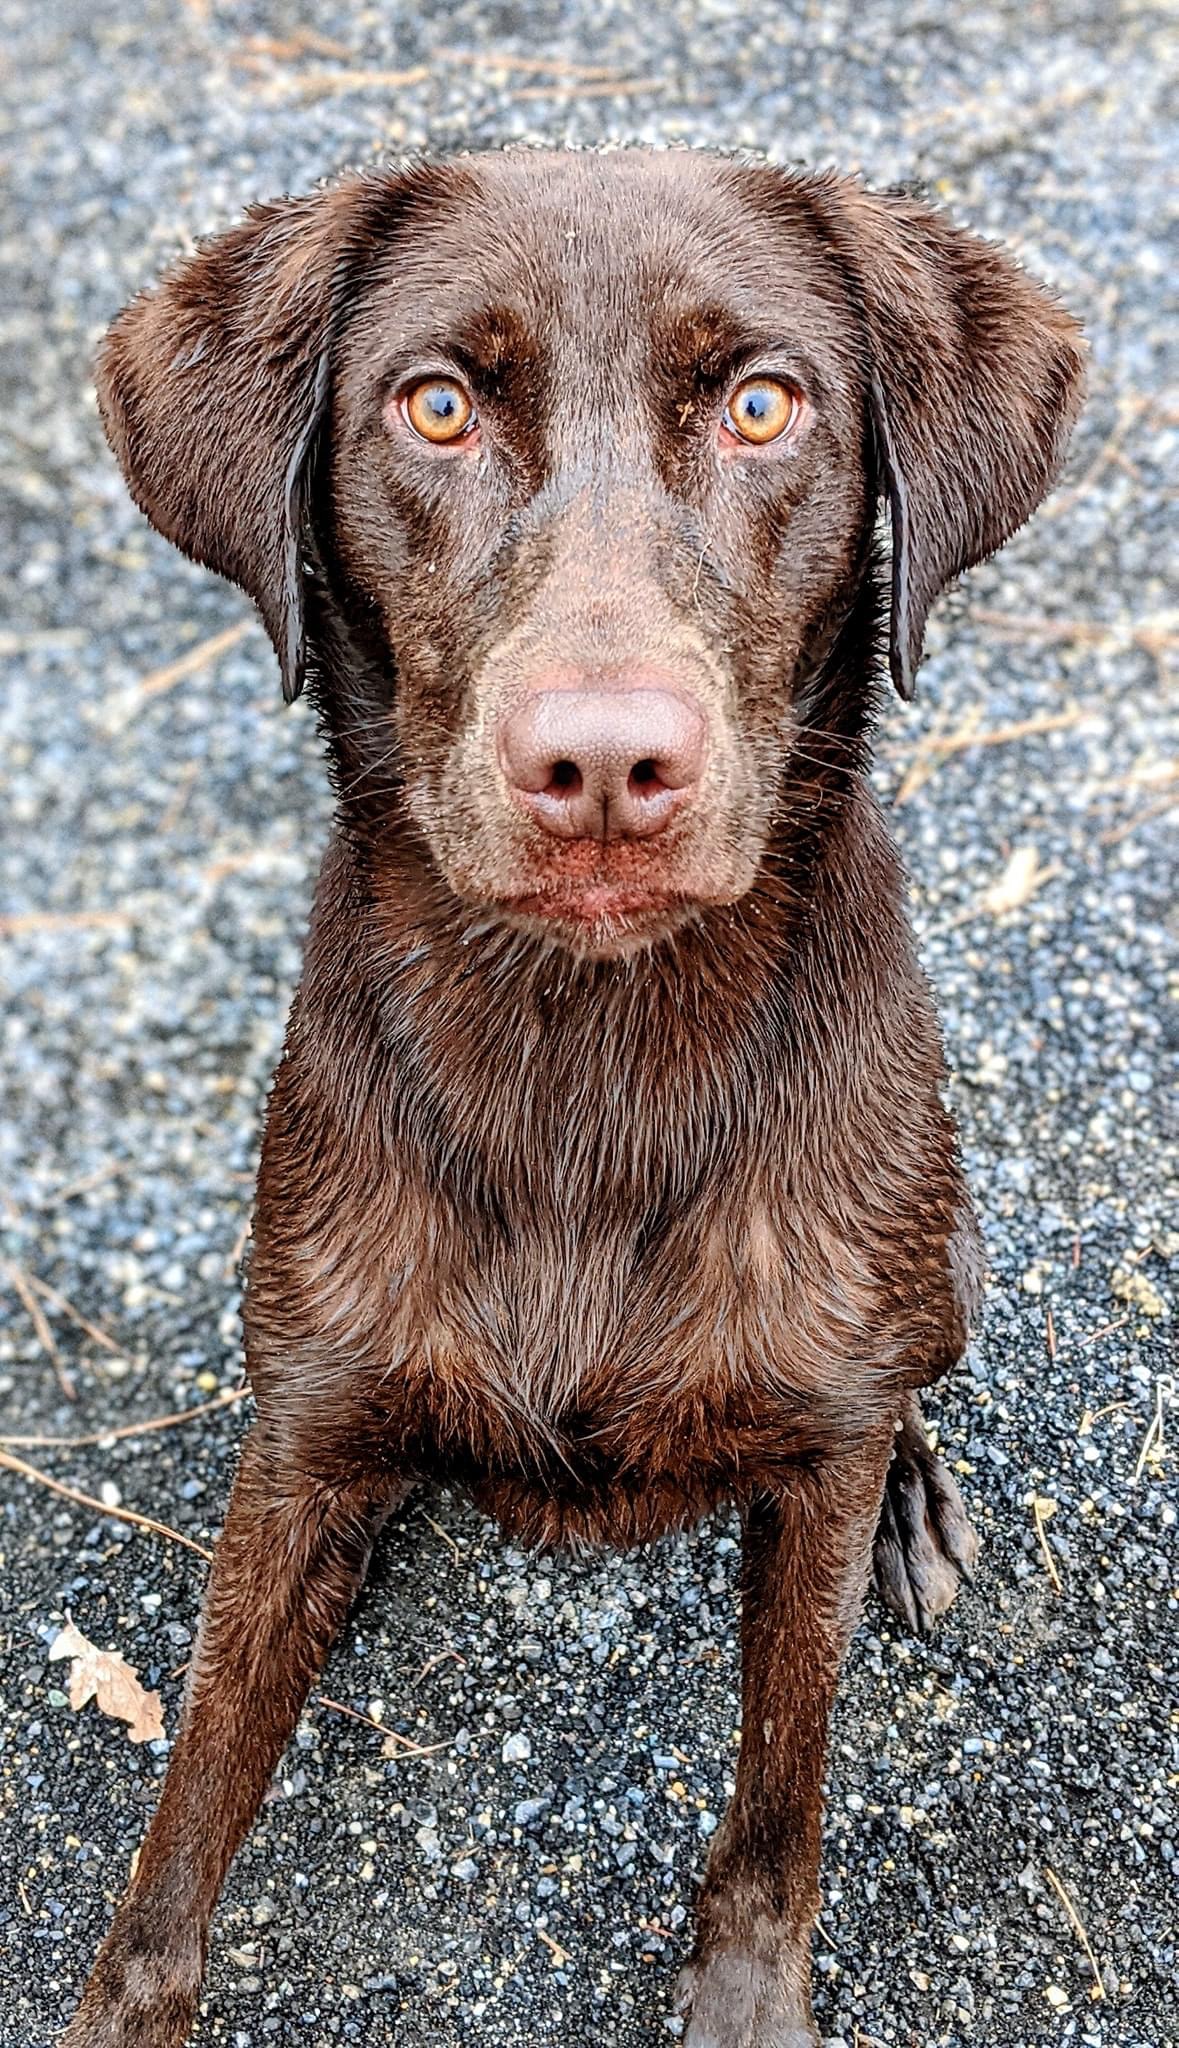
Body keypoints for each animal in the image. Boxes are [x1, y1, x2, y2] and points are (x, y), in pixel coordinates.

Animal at [62, 148, 1080, 2048]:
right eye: (436, 406)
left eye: (761, 405)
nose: (603, 766)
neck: (582, 1054)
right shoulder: (296, 1431)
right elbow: (173, 1855)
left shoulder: (805, 1474)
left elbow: (774, 1809)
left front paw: (745, 1996)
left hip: (948, 1256)